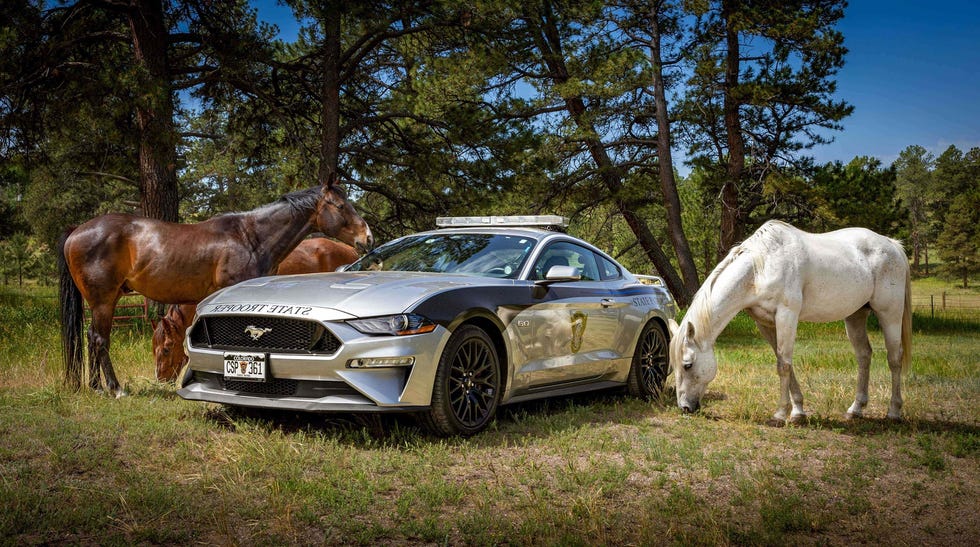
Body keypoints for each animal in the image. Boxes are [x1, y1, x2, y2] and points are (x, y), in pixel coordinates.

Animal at [672, 220, 912, 422]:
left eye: (687, 365)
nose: (685, 407)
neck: (760, 268)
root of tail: (892, 245)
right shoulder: (765, 323)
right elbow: (784, 361)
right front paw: (797, 411)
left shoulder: (787, 316)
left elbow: (784, 366)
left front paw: (780, 415)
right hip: (856, 315)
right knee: (864, 355)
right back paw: (856, 409)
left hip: (889, 313)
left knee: (894, 358)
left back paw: (893, 412)